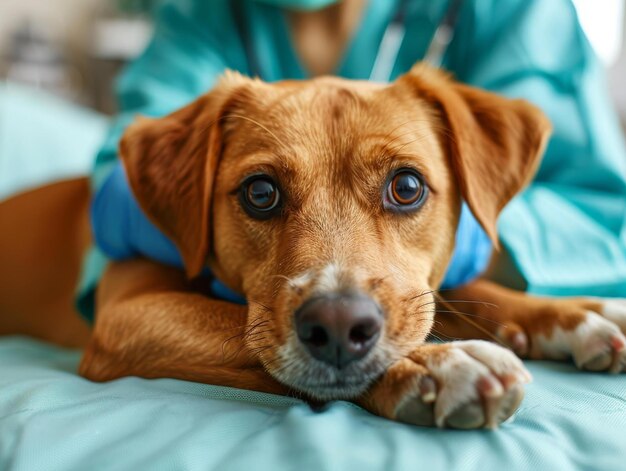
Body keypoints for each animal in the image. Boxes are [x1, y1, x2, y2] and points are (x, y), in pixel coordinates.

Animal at [1, 64, 624, 430]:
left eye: (406, 187)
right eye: (260, 193)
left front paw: (572, 313)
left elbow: (465, 291)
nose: (340, 325)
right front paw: (434, 361)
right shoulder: (129, 314)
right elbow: (238, 324)